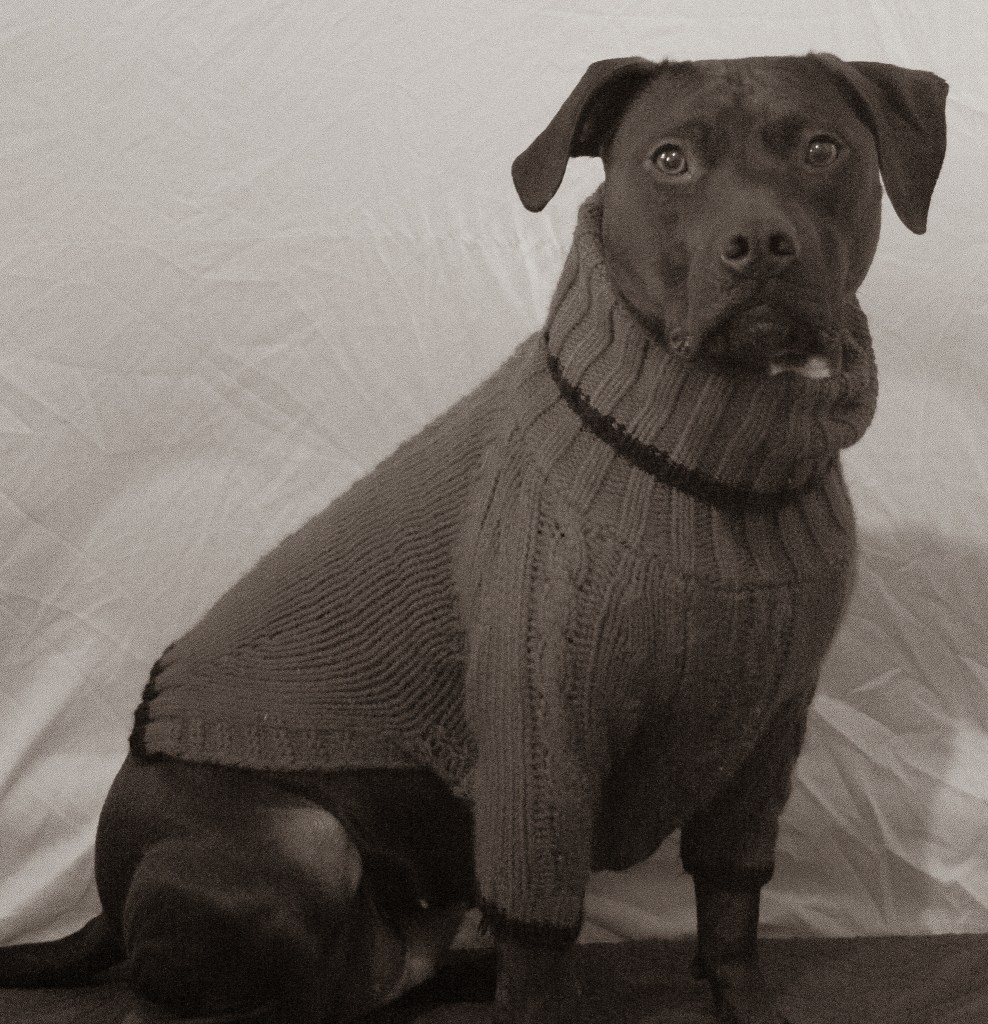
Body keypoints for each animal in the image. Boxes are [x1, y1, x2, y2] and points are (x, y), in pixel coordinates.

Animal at [0, 53, 947, 1024]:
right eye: (670, 160)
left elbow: (731, 908)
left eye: (822, 150)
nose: (757, 243)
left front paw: (745, 1000)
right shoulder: (540, 736)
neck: (718, 464)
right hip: (305, 840)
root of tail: (106, 893)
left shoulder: (767, 728)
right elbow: (539, 953)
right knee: (167, 1000)